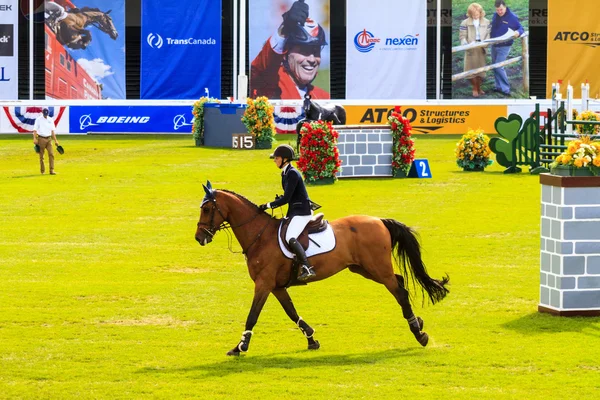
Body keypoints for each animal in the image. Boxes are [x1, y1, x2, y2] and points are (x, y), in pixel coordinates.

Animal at [197, 182, 450, 356]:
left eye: (207, 209)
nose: (199, 238)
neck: (260, 236)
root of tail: (379, 220)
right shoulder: (276, 286)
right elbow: (292, 312)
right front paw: (311, 339)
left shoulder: (263, 284)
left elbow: (252, 316)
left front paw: (240, 347)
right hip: (365, 269)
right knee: (400, 282)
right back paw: (418, 322)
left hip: (378, 269)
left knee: (400, 292)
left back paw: (419, 334)